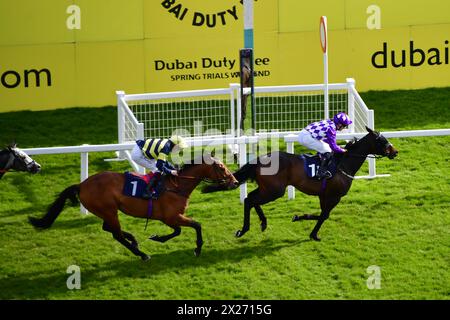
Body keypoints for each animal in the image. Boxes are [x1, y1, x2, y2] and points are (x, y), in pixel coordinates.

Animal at [28, 154, 239, 262]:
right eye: (221, 167)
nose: (235, 182)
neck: (177, 185)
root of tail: (81, 185)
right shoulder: (171, 216)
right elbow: (196, 225)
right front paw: (197, 249)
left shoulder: (170, 218)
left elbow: (178, 231)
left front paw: (157, 237)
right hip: (108, 210)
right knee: (116, 234)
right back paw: (141, 253)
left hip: (108, 212)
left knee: (110, 229)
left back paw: (135, 241)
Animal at [202, 126, 400, 241]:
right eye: (382, 140)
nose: (395, 152)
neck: (344, 164)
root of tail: (260, 159)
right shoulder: (334, 196)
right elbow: (324, 215)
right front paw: (314, 234)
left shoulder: (324, 195)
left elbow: (321, 214)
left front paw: (298, 217)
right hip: (275, 190)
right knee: (250, 200)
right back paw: (244, 229)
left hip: (268, 188)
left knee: (250, 198)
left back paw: (262, 223)